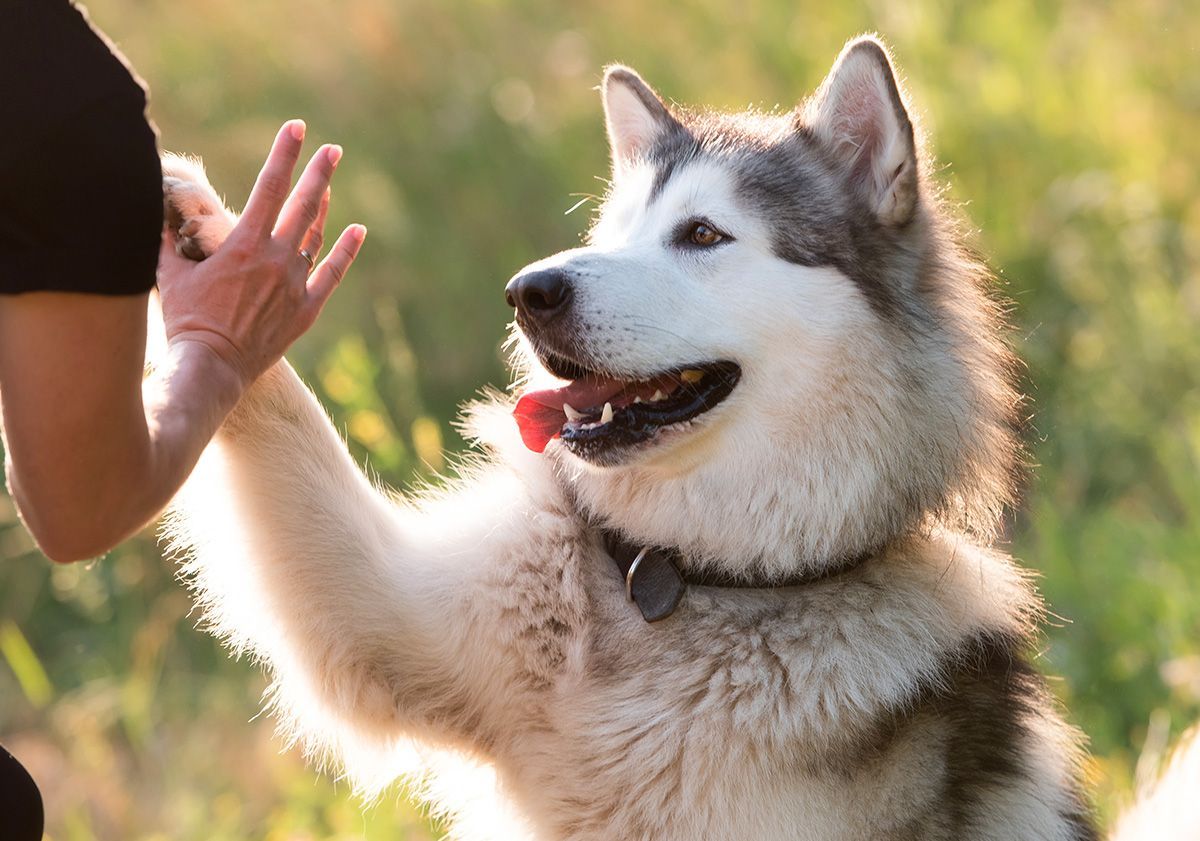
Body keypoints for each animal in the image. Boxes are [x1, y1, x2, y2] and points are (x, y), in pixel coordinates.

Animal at [164, 34, 1195, 839]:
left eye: (702, 235)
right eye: (611, 230)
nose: (529, 291)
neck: (687, 581)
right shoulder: (385, 614)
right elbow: (282, 423)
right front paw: (209, 246)